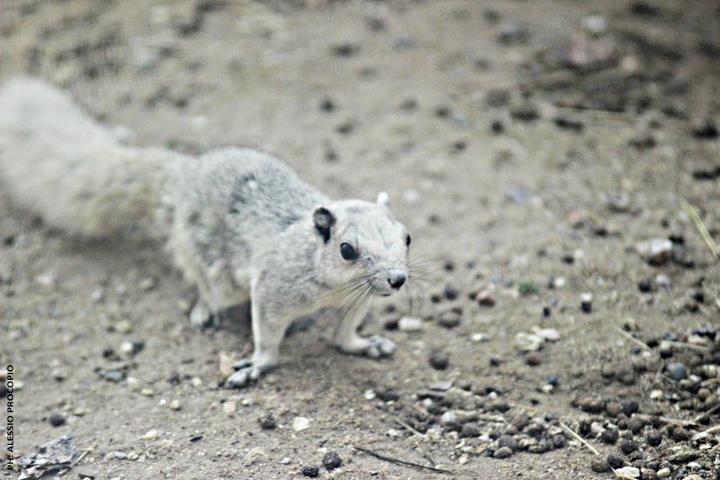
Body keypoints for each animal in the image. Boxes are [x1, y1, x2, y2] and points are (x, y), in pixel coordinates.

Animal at [0, 78, 411, 388]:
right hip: (215, 270)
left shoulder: (358, 299)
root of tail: (183, 177)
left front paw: (361, 344)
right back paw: (203, 310)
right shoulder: (273, 289)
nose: (397, 279)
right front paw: (257, 364)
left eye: (407, 237)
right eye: (346, 250)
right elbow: (267, 336)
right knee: (205, 285)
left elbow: (345, 331)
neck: (328, 279)